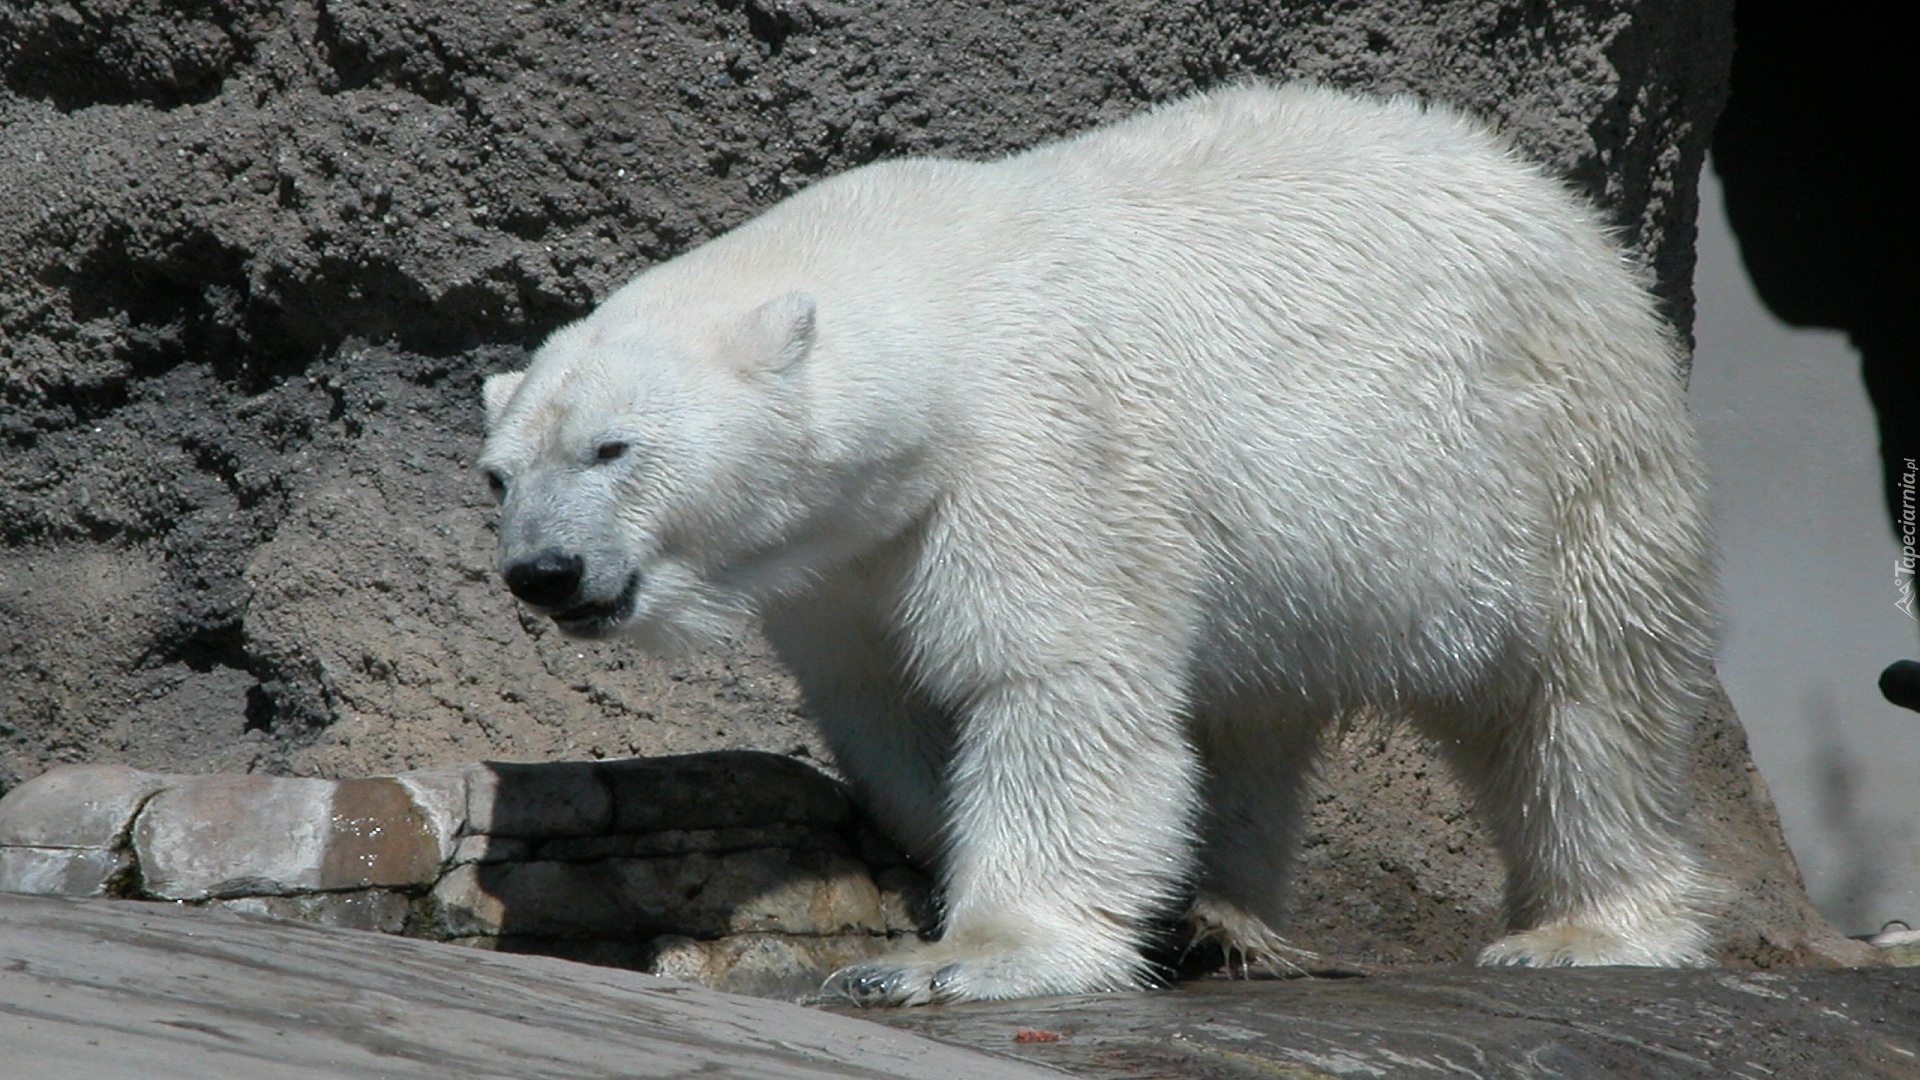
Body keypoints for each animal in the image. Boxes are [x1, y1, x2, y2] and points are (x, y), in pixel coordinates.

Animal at [476, 82, 1712, 999]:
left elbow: (1053, 683)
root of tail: (1558, 206)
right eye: (500, 473)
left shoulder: (1042, 450)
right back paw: (1221, 917)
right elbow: (899, 712)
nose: (545, 572)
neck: (932, 298)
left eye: (612, 448)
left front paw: (959, 960)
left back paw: (1587, 931)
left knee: (1583, 700)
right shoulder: (843, 562)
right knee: (1244, 722)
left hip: (1552, 457)